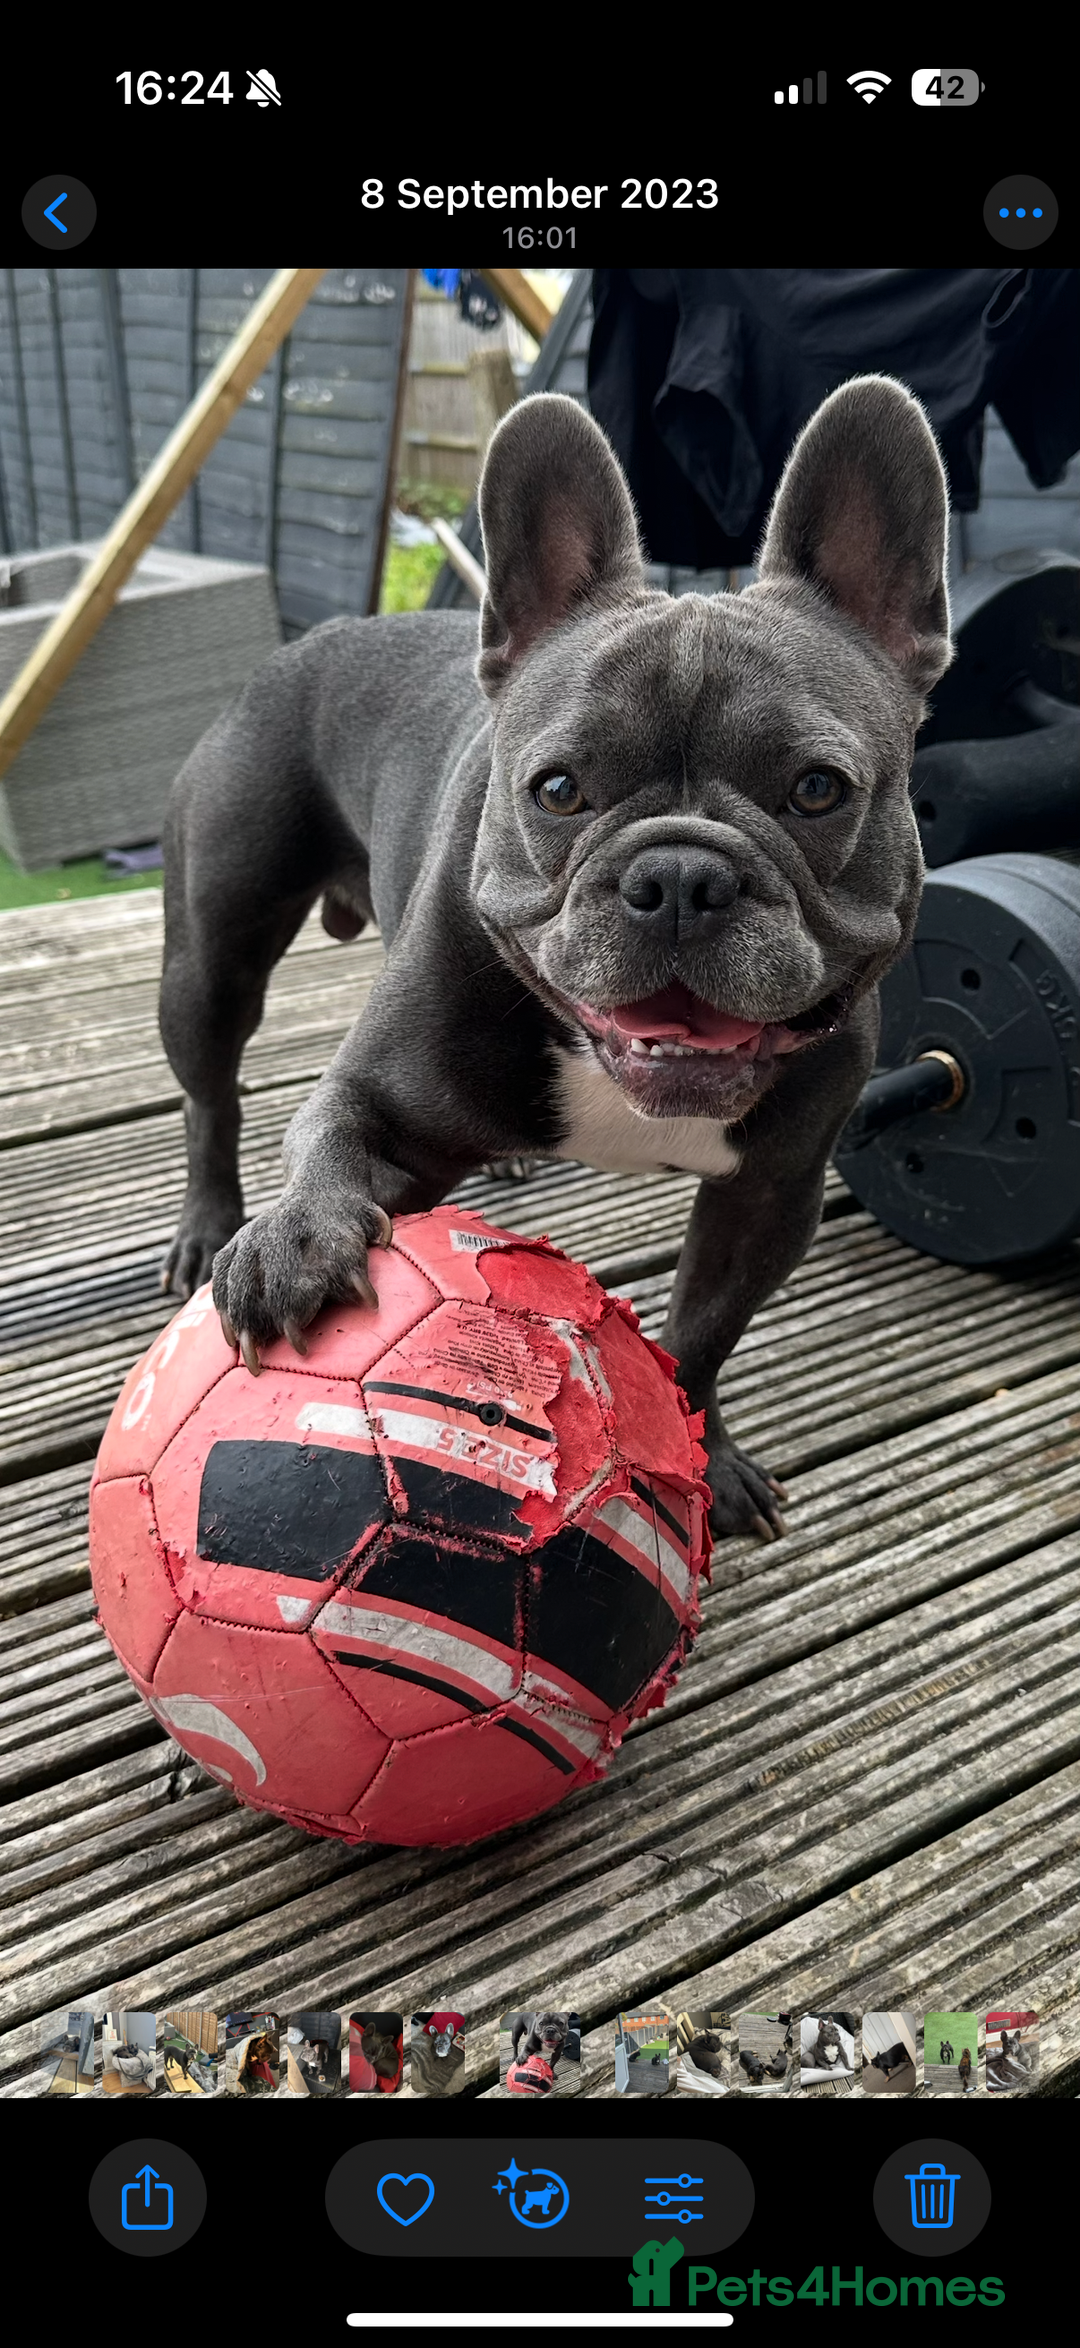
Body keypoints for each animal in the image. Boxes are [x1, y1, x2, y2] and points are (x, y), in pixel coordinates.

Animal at [160, 378, 951, 1541]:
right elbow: (328, 1142)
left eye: (817, 790)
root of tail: (317, 639)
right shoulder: (370, 1098)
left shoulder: (771, 1194)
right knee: (213, 1093)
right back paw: (213, 1224)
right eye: (559, 789)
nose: (680, 875)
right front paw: (294, 1244)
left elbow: (701, 1334)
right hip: (213, 951)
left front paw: (704, 1456)